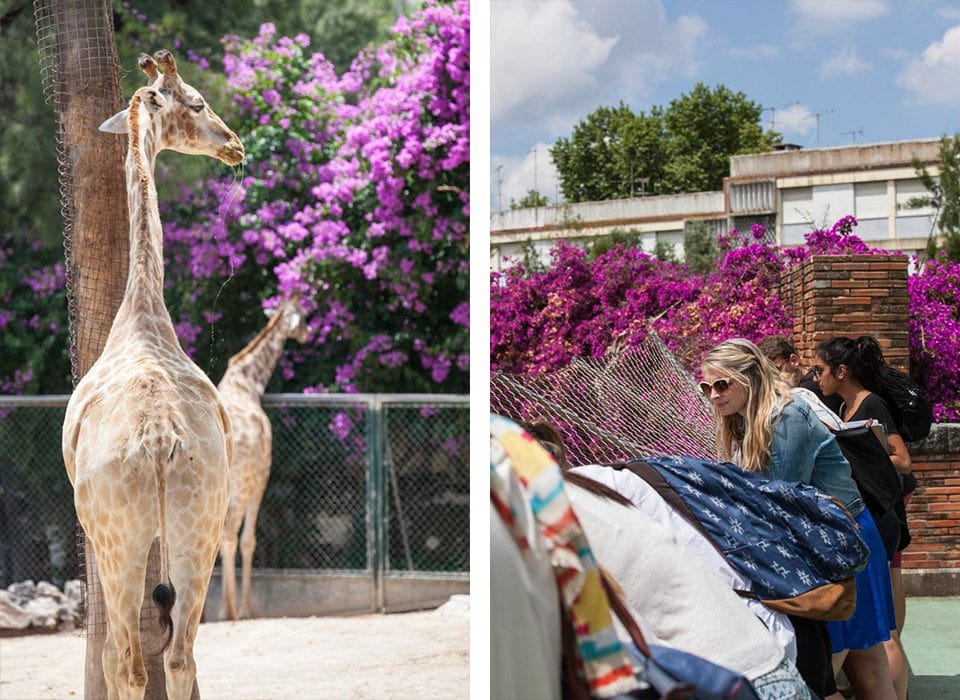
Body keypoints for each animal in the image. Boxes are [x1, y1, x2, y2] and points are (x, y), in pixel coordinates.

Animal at [62, 50, 244, 700]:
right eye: (197, 102)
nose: (235, 144)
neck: (142, 311)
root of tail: (161, 437)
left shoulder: (94, 529)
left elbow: (121, 654)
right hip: (200, 521)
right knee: (181, 654)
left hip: (122, 537)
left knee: (127, 659)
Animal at [218, 296, 308, 616]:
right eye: (305, 316)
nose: (308, 334)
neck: (249, 382)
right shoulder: (261, 478)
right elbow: (248, 540)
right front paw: (243, 607)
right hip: (239, 485)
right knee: (230, 536)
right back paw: (233, 611)